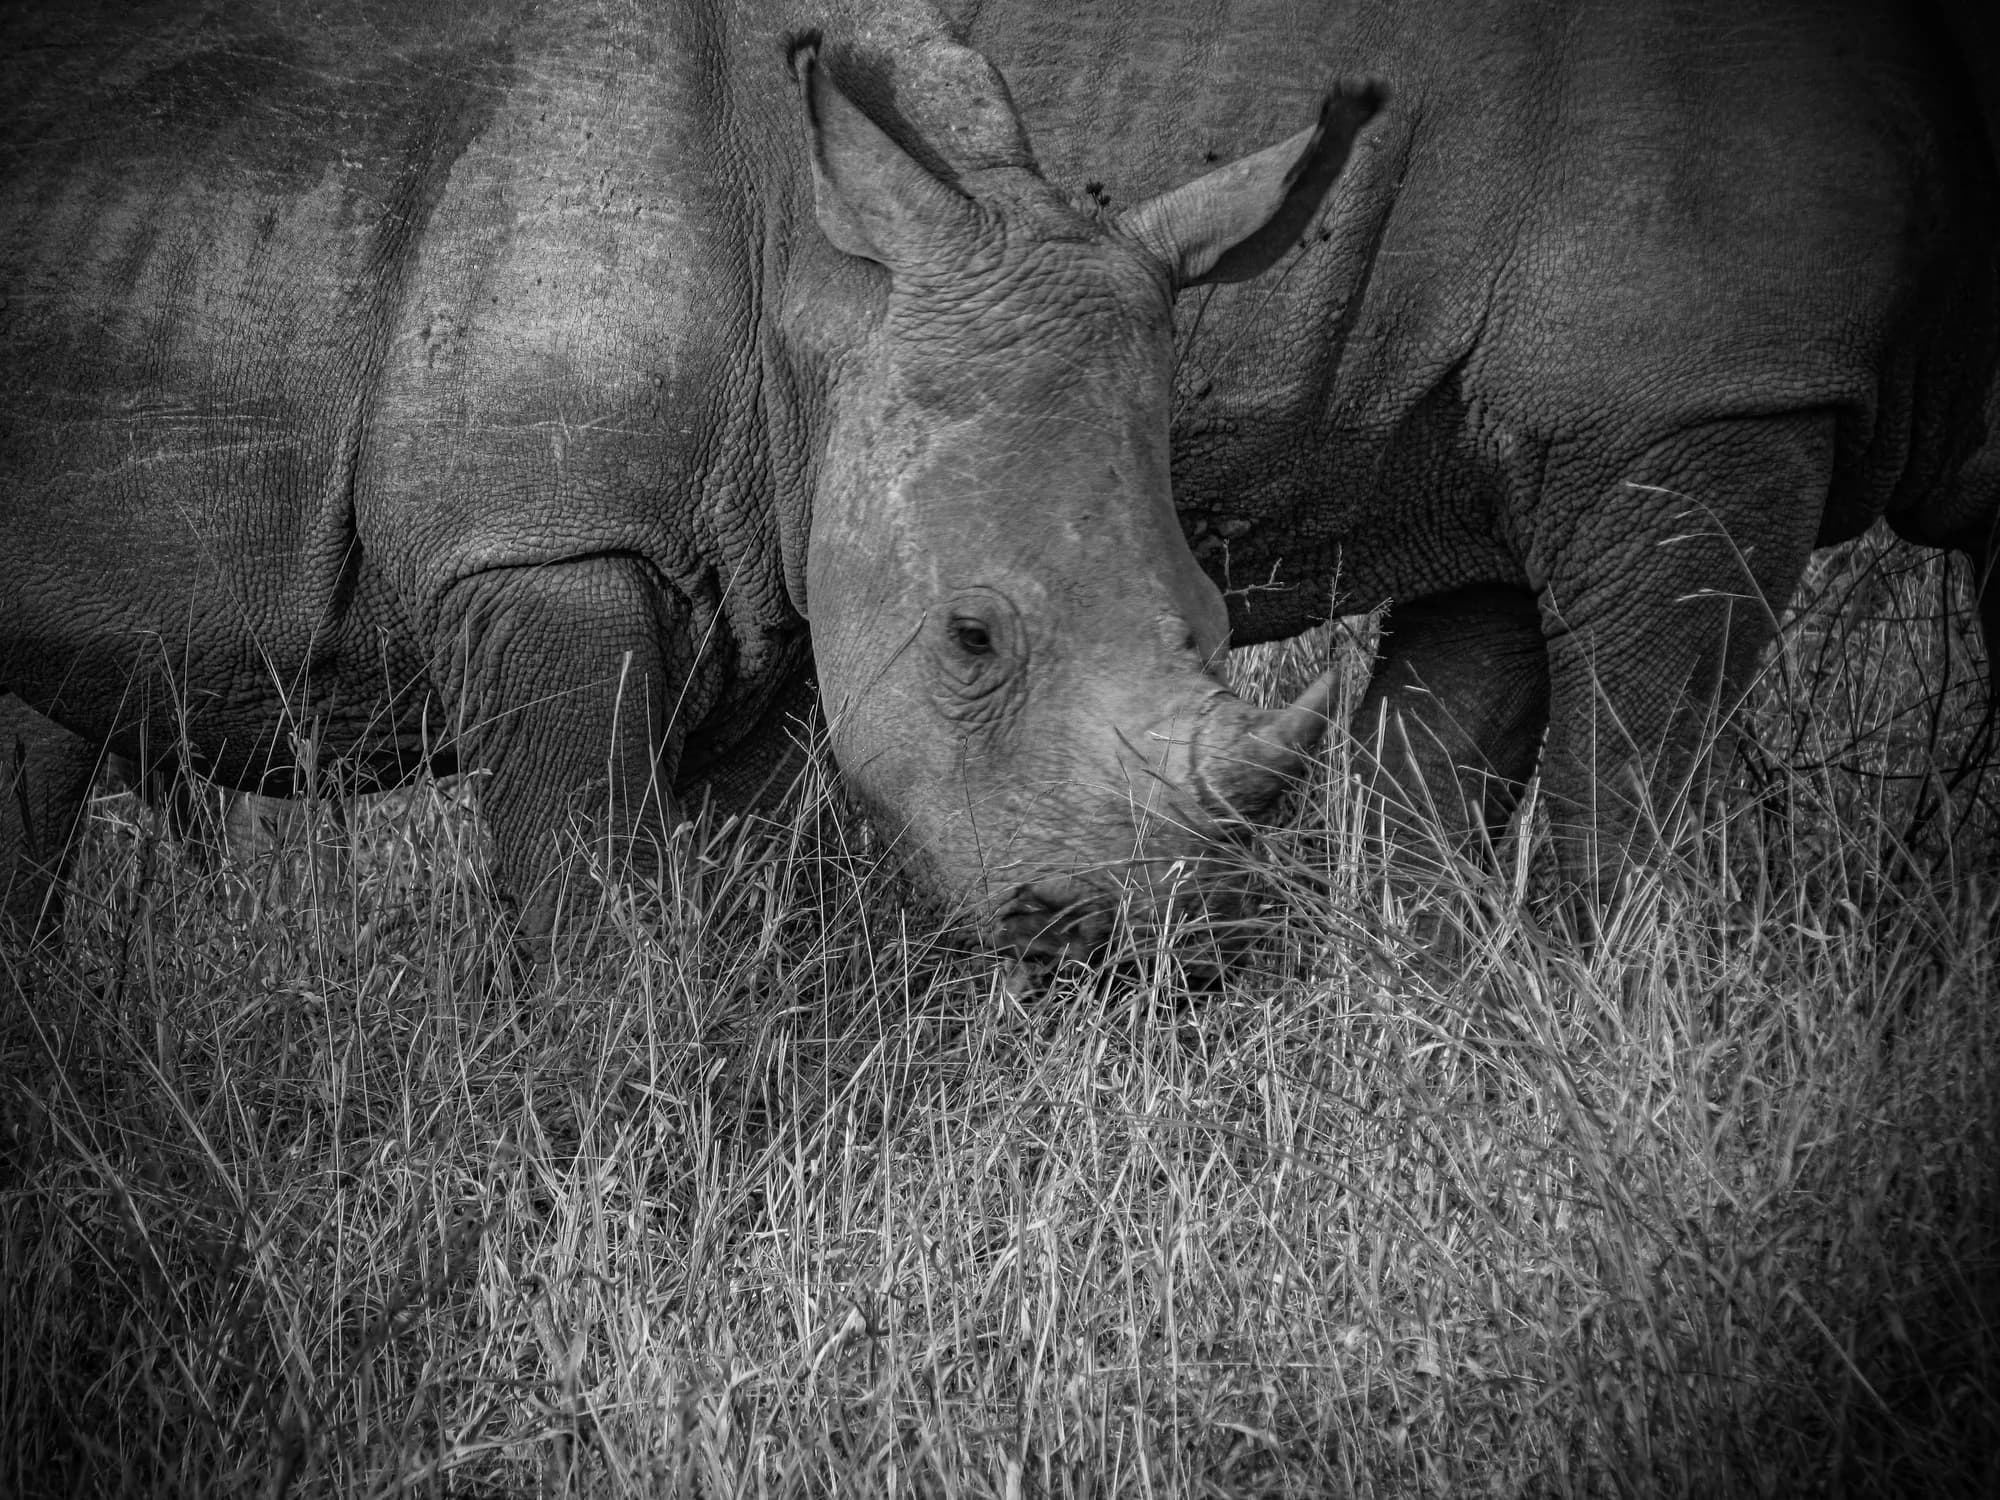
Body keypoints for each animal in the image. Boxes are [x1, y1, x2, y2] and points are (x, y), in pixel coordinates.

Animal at [1, 0, 1381, 954]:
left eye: (1214, 620)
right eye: (972, 637)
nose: (1155, 938)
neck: (818, 277)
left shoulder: (784, 578)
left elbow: (738, 891)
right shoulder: (547, 544)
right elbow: (586, 896)